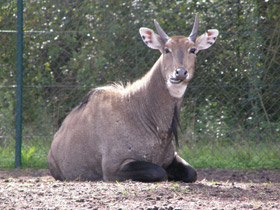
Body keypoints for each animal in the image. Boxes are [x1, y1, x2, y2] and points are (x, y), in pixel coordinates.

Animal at [47, 13, 219, 182]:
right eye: (166, 50)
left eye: (193, 49)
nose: (180, 73)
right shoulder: (113, 167)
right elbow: (159, 171)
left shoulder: (172, 158)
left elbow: (191, 173)